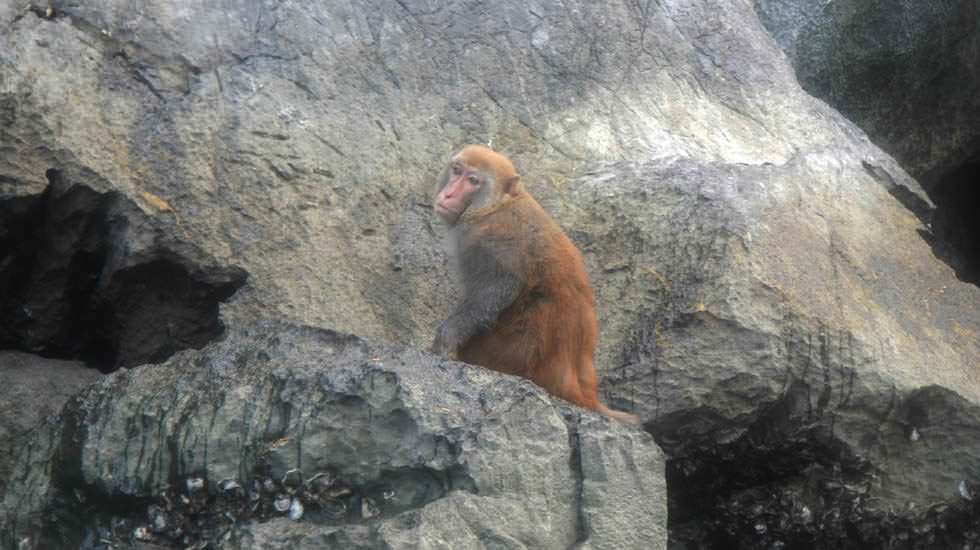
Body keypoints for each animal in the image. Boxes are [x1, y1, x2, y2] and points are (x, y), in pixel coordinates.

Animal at [432, 147, 640, 426]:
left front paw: (446, 340)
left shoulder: (493, 243)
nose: (449, 194)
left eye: (473, 181)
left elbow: (492, 295)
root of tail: (585, 395)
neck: (496, 206)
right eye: (456, 170)